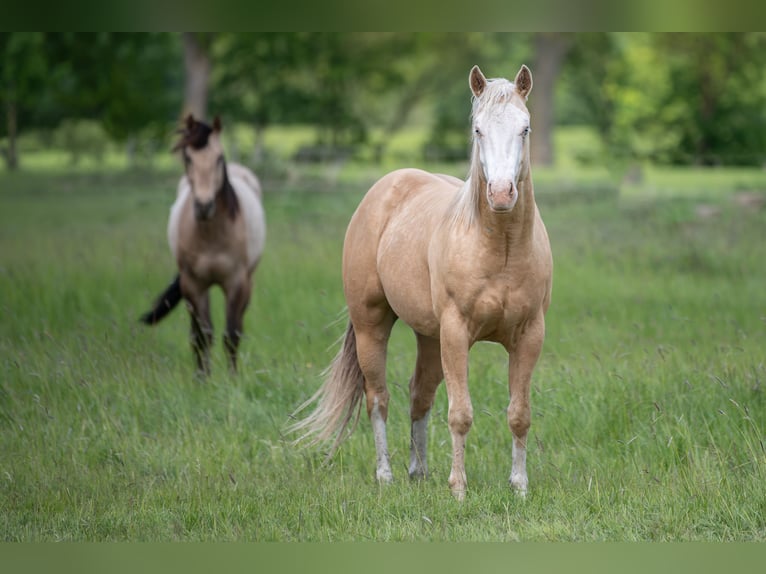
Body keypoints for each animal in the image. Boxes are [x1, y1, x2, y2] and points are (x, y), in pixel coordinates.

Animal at [140, 115, 266, 376]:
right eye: (188, 158)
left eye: (219, 158)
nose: (204, 206)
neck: (211, 236)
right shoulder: (193, 284)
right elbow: (201, 336)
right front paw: (202, 378)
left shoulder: (236, 283)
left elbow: (231, 335)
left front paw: (232, 378)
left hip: (247, 283)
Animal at [291, 65, 552, 500]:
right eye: (478, 129)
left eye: (526, 128)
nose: (501, 194)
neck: (499, 250)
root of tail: (387, 187)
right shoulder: (456, 333)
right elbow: (460, 414)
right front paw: (459, 489)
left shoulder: (529, 335)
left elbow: (519, 414)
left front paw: (520, 488)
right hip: (373, 326)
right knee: (378, 399)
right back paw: (386, 475)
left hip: (429, 337)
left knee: (419, 395)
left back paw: (419, 470)